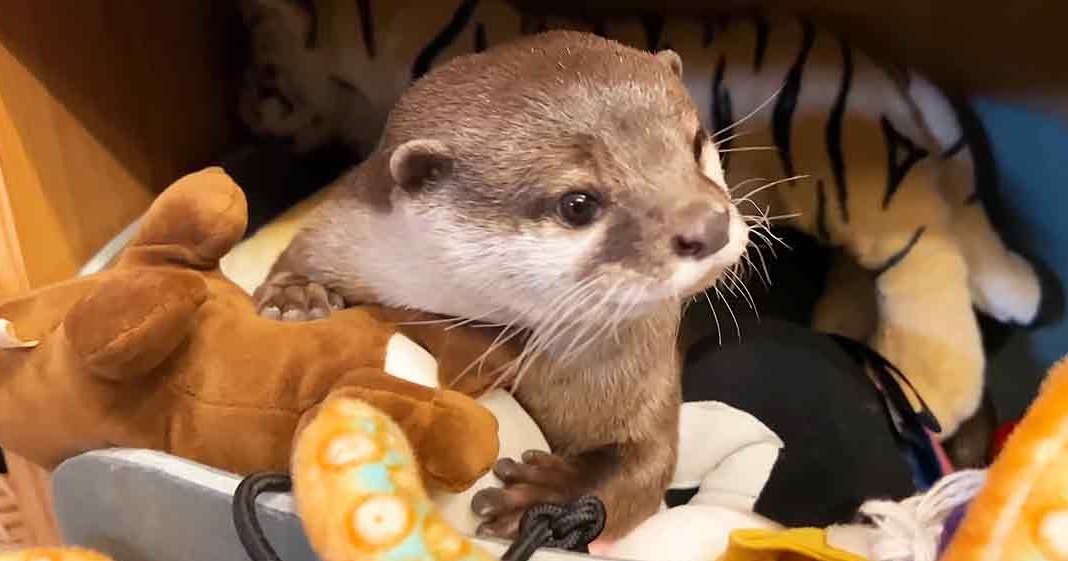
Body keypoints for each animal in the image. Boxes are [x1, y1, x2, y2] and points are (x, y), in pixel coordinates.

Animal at [253, 30, 750, 539]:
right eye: (577, 204)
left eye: (697, 143)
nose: (709, 225)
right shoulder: (342, 235)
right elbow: (295, 259)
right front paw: (297, 297)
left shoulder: (647, 378)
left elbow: (644, 466)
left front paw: (542, 494)